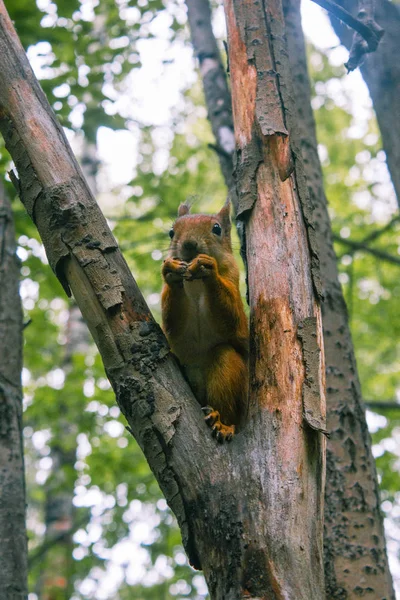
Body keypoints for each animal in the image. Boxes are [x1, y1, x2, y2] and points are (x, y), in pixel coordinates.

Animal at [161, 200, 248, 440]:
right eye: (171, 232)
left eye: (217, 228)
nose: (189, 244)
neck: (197, 284)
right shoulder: (174, 327)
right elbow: (172, 326)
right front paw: (170, 270)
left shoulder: (233, 282)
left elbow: (233, 320)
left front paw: (208, 268)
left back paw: (222, 423)